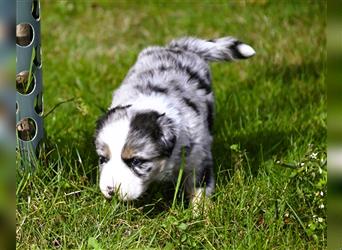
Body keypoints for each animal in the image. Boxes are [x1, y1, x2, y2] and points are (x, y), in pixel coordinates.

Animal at [94, 36, 254, 205]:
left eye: (136, 161)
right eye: (102, 159)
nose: (111, 191)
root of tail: (177, 48)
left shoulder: (199, 159)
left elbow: (200, 190)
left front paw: (201, 211)